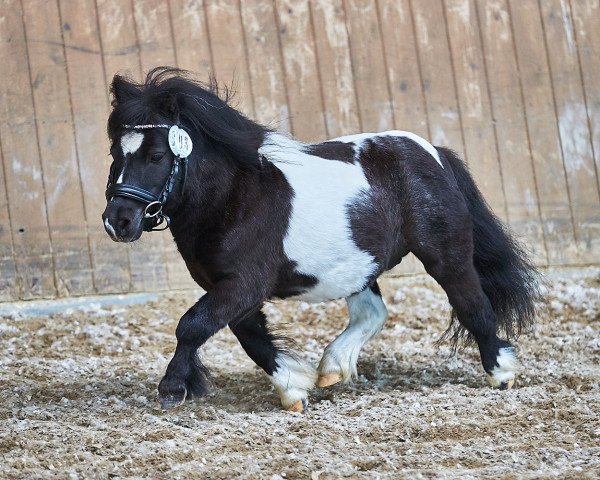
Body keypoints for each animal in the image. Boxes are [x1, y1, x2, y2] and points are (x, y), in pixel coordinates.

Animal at [101, 67, 536, 412]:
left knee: (474, 306)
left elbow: (192, 325)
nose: (117, 222)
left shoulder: (244, 283)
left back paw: (501, 373)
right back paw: (332, 369)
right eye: (114, 153)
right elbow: (251, 338)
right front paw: (294, 389)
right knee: (372, 313)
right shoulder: (229, 288)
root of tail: (434, 153)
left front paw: (172, 389)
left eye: (157, 156)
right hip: (361, 266)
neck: (232, 198)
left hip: (447, 256)